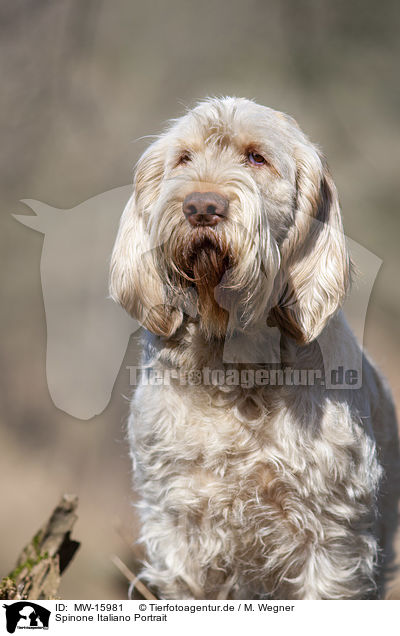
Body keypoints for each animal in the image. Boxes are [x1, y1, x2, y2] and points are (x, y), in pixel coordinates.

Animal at [108, 97, 398, 600]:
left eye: (256, 158)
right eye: (183, 158)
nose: (201, 206)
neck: (236, 369)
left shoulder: (332, 539)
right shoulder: (181, 532)